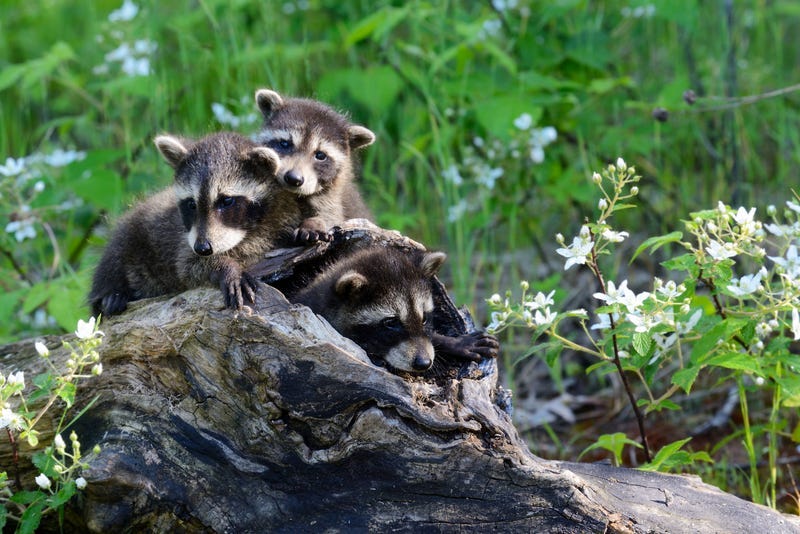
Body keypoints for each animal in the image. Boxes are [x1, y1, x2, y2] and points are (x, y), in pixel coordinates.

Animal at [89, 132, 291, 317]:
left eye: (226, 201)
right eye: (191, 204)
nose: (203, 248)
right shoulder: (184, 241)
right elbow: (188, 265)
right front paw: (227, 267)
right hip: (132, 236)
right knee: (115, 255)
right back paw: (111, 294)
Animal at [254, 88, 375, 244]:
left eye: (320, 155)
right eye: (284, 143)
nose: (293, 178)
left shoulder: (332, 199)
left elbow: (330, 215)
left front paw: (314, 223)